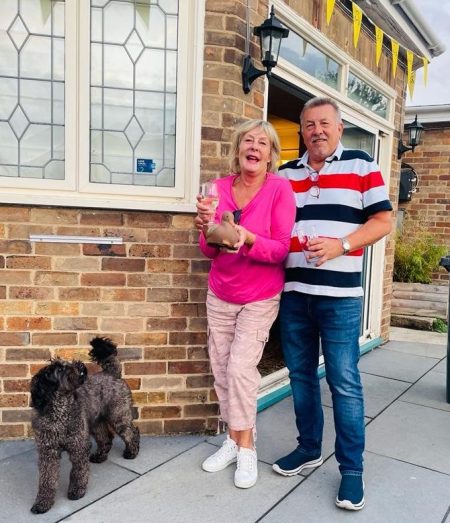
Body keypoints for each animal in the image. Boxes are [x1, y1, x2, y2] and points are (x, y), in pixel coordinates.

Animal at [29, 338, 139, 512]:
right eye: (60, 369)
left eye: (65, 364)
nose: (80, 365)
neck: (60, 413)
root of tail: (111, 373)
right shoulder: (48, 453)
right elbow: (47, 480)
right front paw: (42, 503)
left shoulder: (78, 446)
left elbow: (78, 472)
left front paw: (77, 491)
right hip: (96, 423)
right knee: (106, 438)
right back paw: (100, 456)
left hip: (118, 415)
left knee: (131, 432)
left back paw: (132, 452)